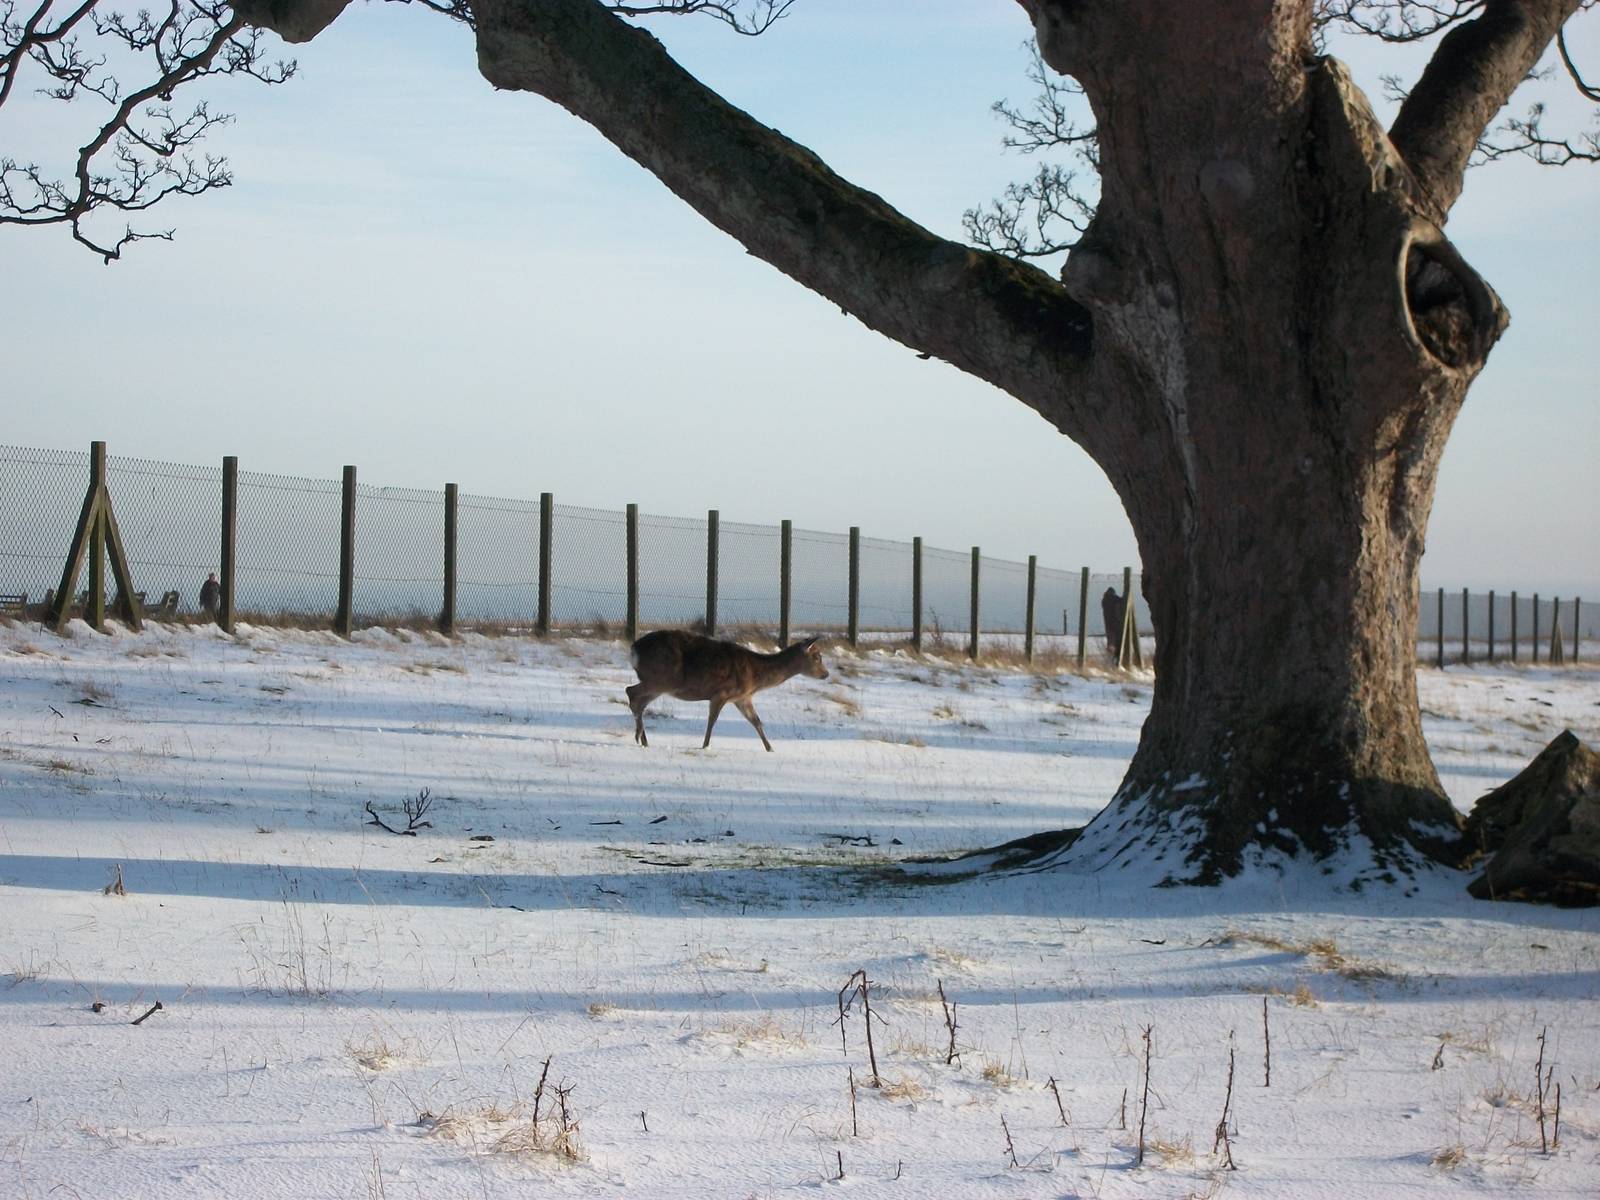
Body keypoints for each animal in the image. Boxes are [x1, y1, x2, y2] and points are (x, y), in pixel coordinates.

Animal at [627, 629, 829, 751]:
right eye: (817, 656)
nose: (826, 674)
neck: (755, 676)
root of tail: (634, 649)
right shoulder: (721, 693)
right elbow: (712, 720)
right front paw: (705, 746)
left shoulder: (742, 698)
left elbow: (756, 721)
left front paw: (770, 748)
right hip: (664, 679)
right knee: (631, 692)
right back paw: (638, 736)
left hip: (660, 684)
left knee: (640, 702)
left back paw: (644, 739)